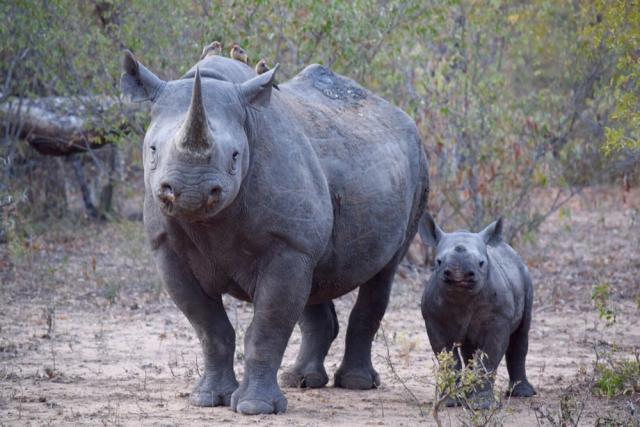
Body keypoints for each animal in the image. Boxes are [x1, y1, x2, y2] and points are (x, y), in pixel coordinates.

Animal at [121, 51, 428, 415]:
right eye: (152, 150)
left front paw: (255, 407)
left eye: (235, 157)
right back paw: (300, 380)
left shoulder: (287, 245)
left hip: (418, 166)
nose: (191, 191)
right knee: (316, 278)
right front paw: (208, 399)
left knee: (383, 272)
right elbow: (209, 328)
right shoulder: (167, 249)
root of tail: (398, 113)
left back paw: (356, 384)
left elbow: (267, 328)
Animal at [419, 214, 536, 408]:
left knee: (521, 334)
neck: (461, 296)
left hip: (526, 276)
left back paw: (523, 393)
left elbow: (488, 358)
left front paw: (482, 405)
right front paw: (449, 402)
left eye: (482, 263)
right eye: (438, 262)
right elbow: (448, 359)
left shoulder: (499, 320)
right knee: (469, 350)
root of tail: (511, 251)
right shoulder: (433, 320)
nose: (459, 274)